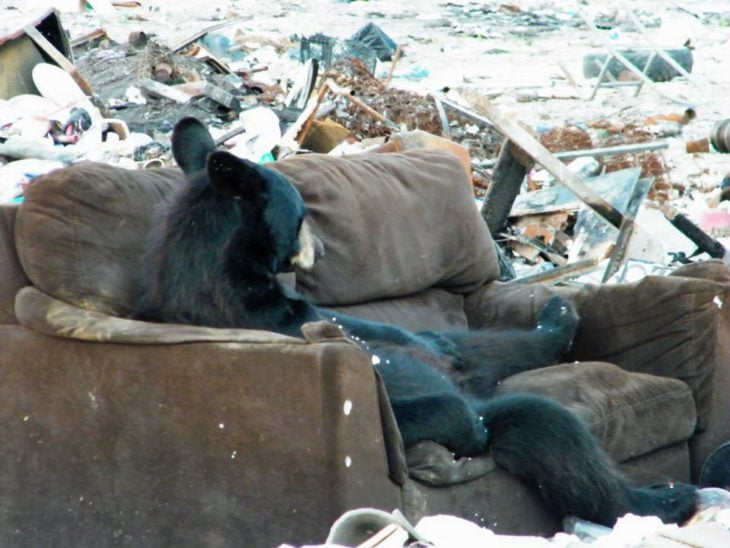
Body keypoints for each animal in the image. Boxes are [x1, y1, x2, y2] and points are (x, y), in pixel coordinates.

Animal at [136, 117, 700, 528]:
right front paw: (467, 427)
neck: (219, 270)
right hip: (505, 410)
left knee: (485, 346)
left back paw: (556, 317)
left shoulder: (286, 305)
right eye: (302, 216)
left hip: (468, 352)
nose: (322, 251)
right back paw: (666, 499)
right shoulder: (261, 314)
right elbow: (417, 400)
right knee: (549, 432)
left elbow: (376, 326)